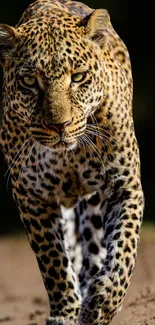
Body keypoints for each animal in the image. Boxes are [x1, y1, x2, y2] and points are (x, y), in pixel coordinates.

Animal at [0, 0, 144, 324]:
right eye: (30, 81)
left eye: (78, 77)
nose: (60, 126)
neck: (70, 155)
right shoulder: (31, 196)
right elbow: (53, 261)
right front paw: (65, 312)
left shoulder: (124, 185)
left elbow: (124, 250)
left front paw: (103, 302)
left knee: (95, 245)